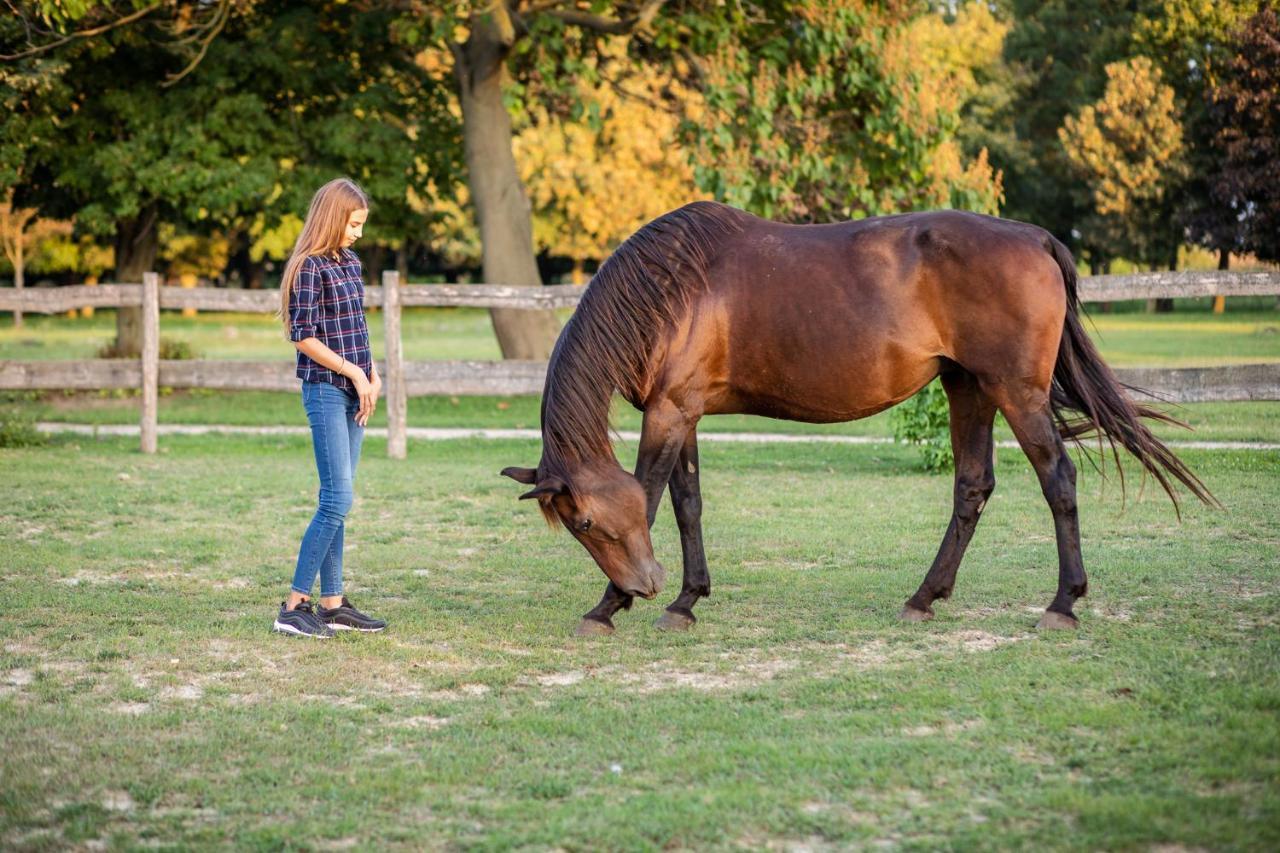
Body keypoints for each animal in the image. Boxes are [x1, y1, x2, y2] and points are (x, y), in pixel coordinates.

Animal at [496, 202, 1208, 635]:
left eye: (584, 523)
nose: (642, 585)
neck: (671, 290)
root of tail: (1035, 237)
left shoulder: (669, 414)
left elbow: (644, 498)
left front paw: (608, 607)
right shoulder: (683, 412)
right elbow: (686, 504)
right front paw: (687, 599)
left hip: (1017, 394)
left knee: (1058, 480)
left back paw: (1062, 603)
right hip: (968, 388)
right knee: (972, 486)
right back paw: (924, 597)